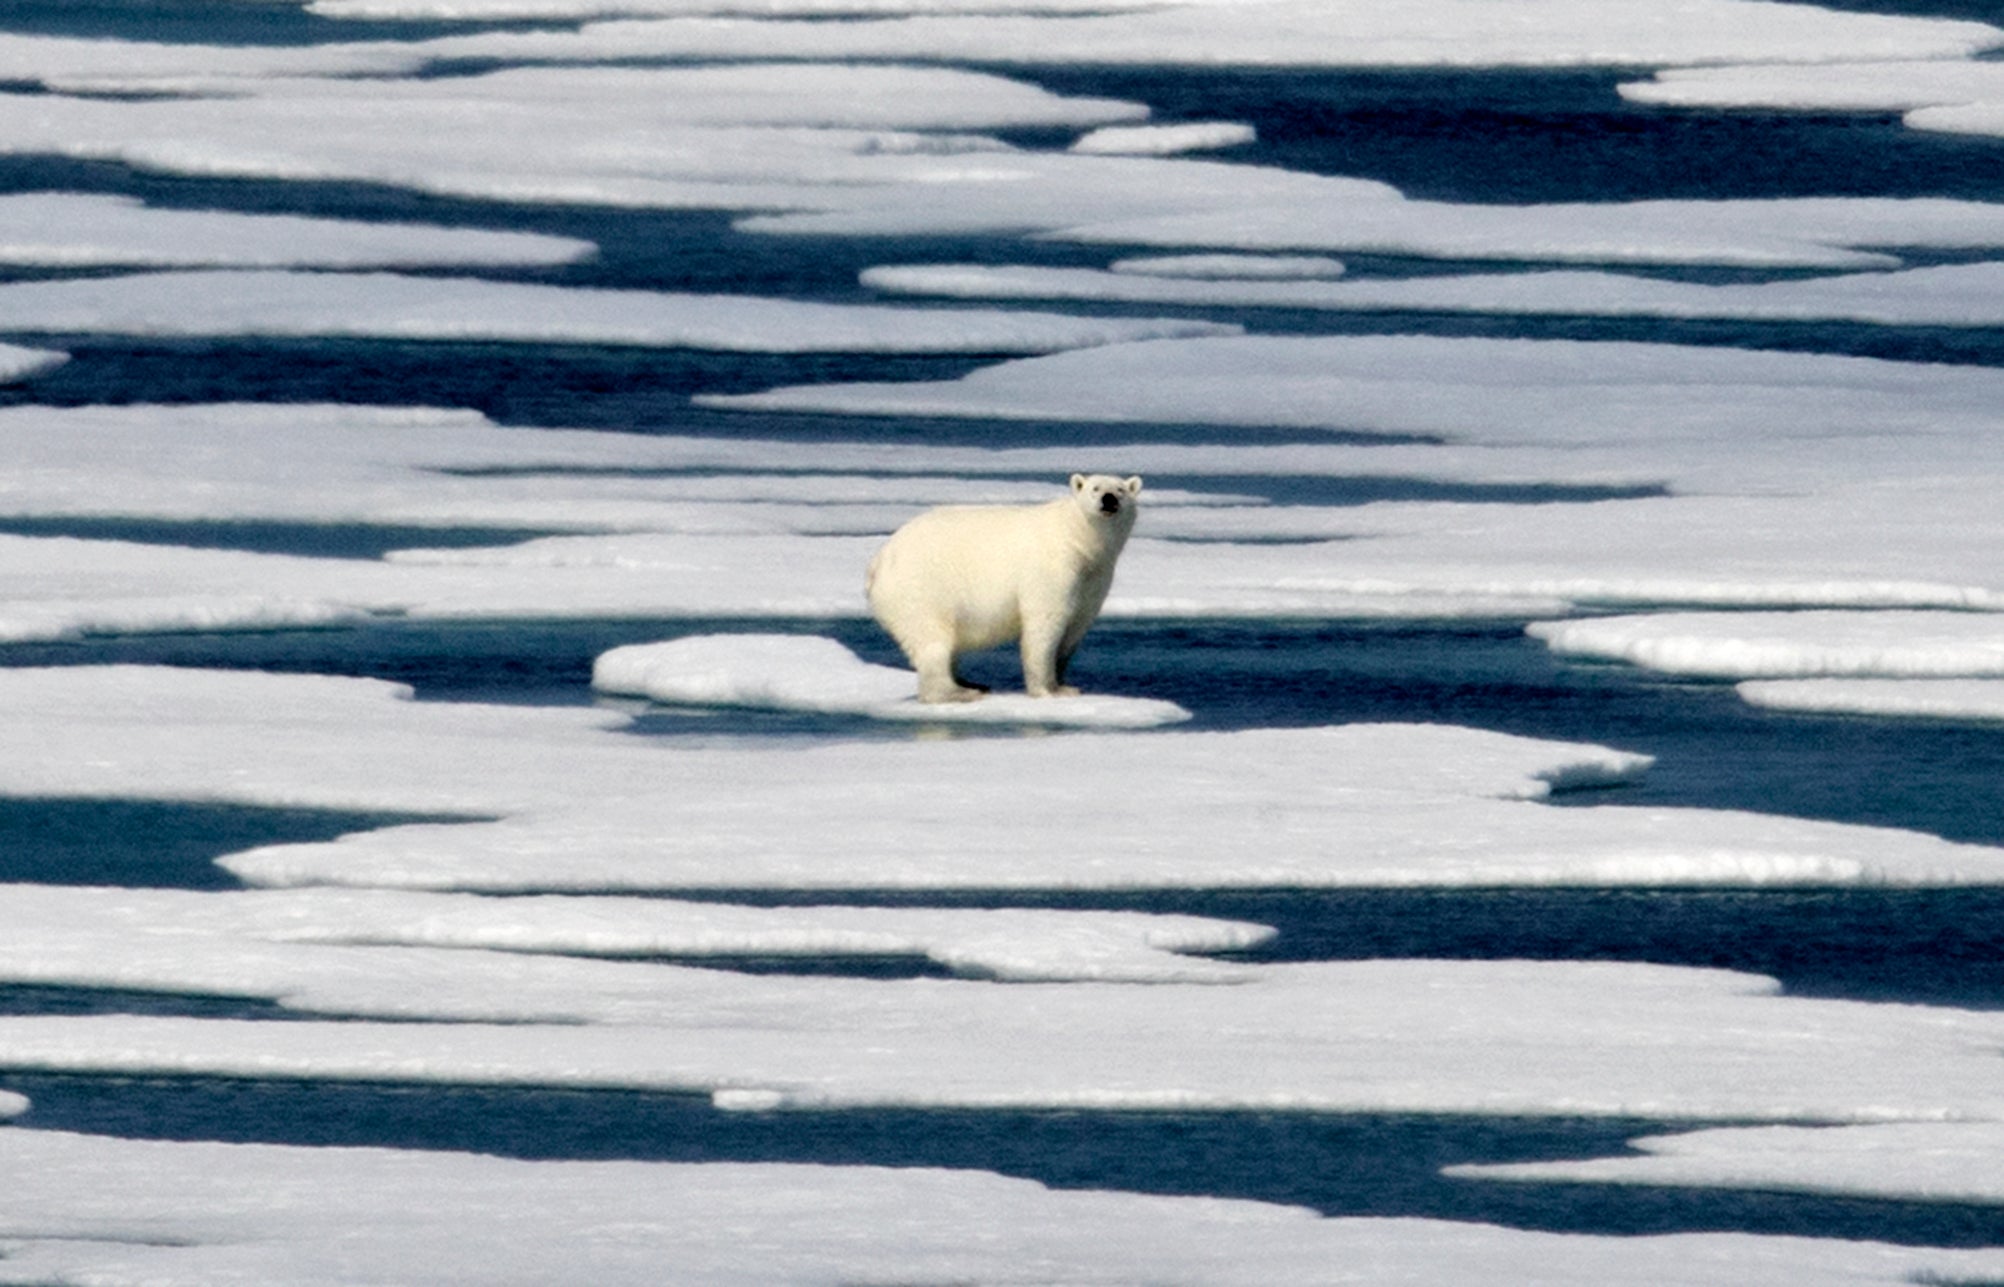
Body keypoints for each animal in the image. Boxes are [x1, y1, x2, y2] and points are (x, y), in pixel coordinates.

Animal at [866, 473, 1143, 703]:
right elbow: (1045, 625)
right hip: (921, 589)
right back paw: (959, 692)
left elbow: (1075, 628)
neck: (1079, 540)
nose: (1109, 499)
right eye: (1095, 488)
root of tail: (878, 563)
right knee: (933, 640)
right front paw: (1046, 690)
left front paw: (1065, 686)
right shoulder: (1052, 568)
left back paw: (969, 682)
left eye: (1120, 489)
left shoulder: (1094, 578)